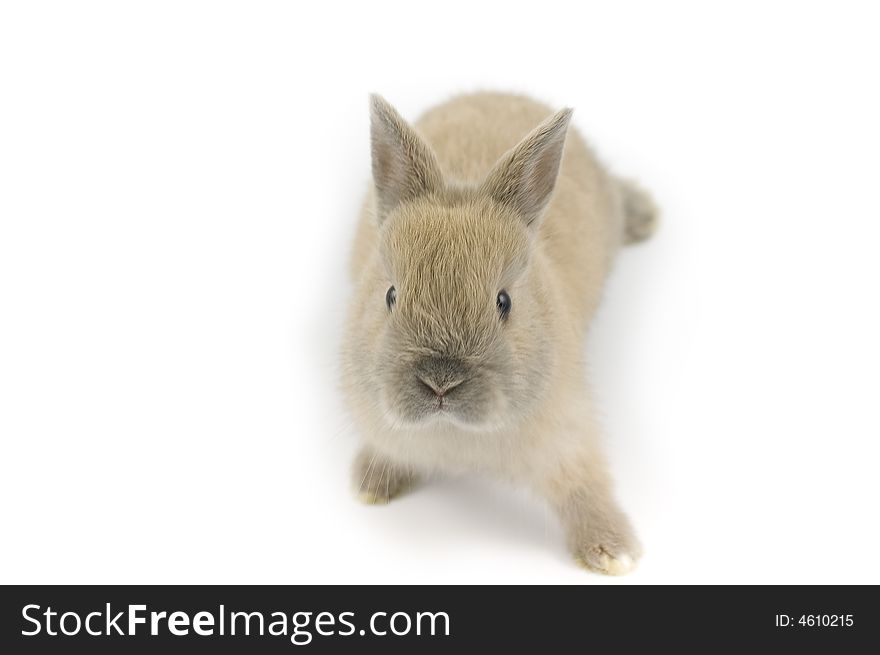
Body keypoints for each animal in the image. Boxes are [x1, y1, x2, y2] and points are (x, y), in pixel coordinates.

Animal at [340, 91, 656, 576]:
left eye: (503, 301)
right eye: (391, 295)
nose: (441, 381)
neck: (454, 433)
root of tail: (501, 92)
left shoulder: (568, 435)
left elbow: (584, 486)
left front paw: (613, 553)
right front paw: (370, 485)